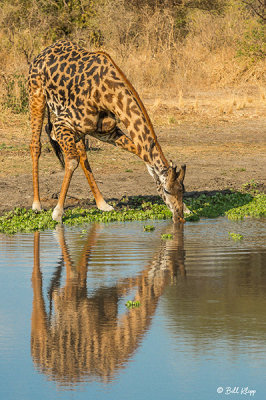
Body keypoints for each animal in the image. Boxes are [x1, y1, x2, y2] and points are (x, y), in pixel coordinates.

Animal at [28, 39, 187, 222]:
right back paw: (37, 205)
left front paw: (187, 209)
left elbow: (140, 151)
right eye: (167, 190)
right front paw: (58, 212)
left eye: (183, 190)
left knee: (83, 155)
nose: (180, 217)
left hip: (81, 130)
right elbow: (72, 161)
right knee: (36, 145)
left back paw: (102, 204)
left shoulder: (107, 132)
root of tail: (42, 52)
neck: (108, 95)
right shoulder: (62, 123)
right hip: (36, 95)